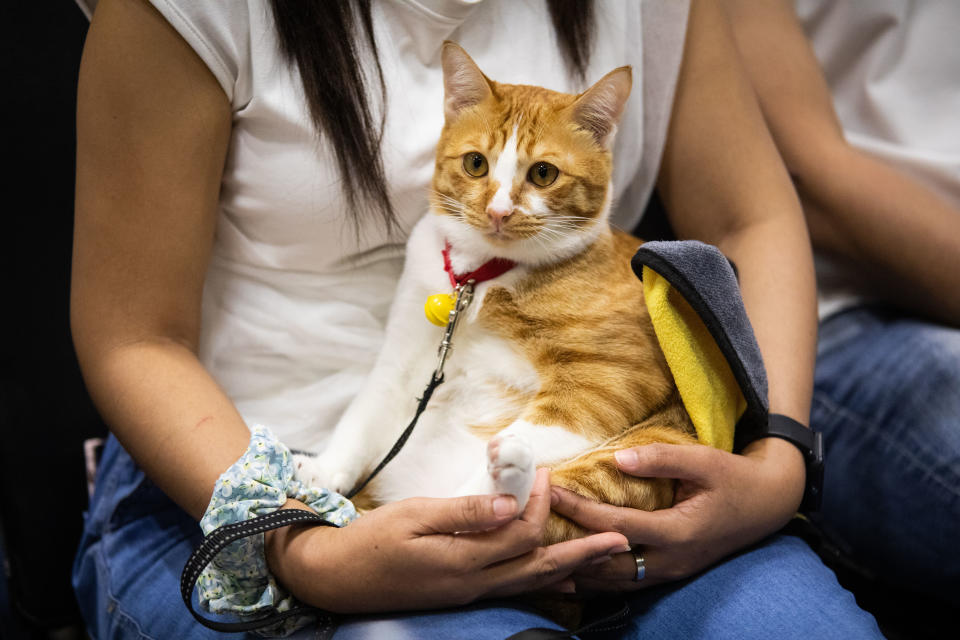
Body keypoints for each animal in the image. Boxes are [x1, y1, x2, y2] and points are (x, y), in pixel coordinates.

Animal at [296, 42, 692, 544]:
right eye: (475, 163)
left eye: (543, 173)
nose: (499, 211)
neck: (478, 279)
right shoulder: (401, 352)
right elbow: (364, 413)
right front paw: (326, 469)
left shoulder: (608, 379)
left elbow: (543, 431)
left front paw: (503, 466)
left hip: (647, 444)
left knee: (509, 509)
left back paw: (505, 475)